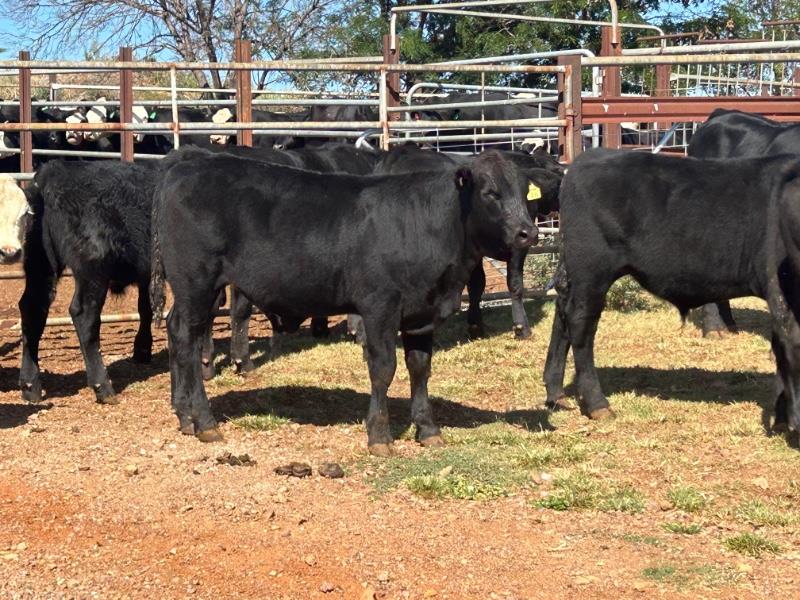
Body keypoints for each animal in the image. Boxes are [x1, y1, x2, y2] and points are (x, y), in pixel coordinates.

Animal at [19, 159, 161, 404]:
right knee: (84, 316)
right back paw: (102, 386)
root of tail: (52, 171)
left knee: (32, 309)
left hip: (40, 264)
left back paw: (31, 385)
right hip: (93, 270)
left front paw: (142, 349)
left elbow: (145, 307)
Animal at [152, 149, 536, 450]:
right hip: (196, 283)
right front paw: (379, 435)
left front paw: (427, 429)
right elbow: (383, 369)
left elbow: (419, 368)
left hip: (195, 293)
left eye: (523, 193)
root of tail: (186, 164)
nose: (528, 233)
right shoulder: (379, 306)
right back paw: (204, 422)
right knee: (188, 341)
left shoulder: (421, 312)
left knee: (176, 331)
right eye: (491, 192)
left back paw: (184, 414)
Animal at [376, 141, 564, 338]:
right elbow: (514, 283)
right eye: (491, 193)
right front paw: (521, 327)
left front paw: (475, 325)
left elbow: (477, 284)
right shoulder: (518, 244)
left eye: (525, 190)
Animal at [544, 149, 800, 432]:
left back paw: (555, 394)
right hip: (592, 269)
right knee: (580, 323)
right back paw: (596, 404)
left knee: (562, 311)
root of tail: (586, 158)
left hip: (574, 273)